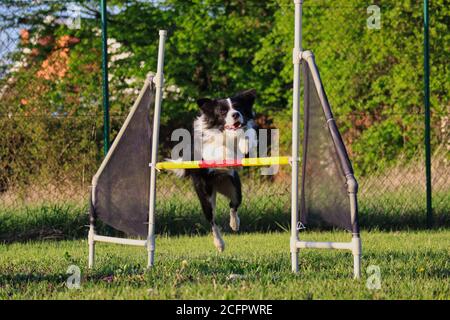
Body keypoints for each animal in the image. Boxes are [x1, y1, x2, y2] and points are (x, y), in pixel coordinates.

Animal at [172, 89, 256, 251]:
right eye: (223, 111)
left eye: (238, 107)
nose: (236, 114)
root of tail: (217, 185)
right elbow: (220, 149)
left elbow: (248, 133)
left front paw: (244, 145)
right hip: (205, 195)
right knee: (212, 221)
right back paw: (220, 244)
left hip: (234, 188)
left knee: (233, 205)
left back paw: (235, 224)